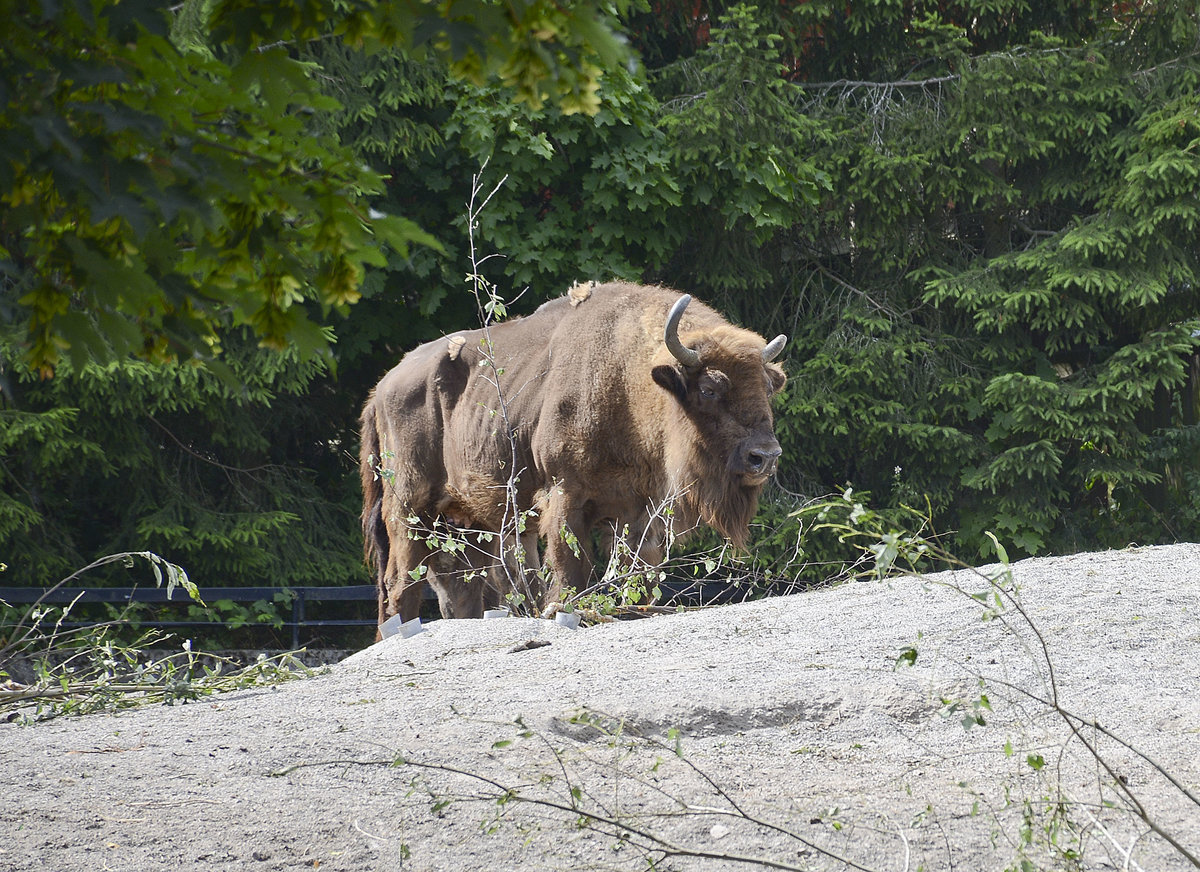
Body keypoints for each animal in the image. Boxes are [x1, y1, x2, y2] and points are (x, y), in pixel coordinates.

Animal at [355, 279, 787, 628]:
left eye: (768, 387)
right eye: (710, 388)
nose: (764, 456)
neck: (630, 381)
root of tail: (381, 389)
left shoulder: (639, 512)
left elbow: (640, 575)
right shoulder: (565, 495)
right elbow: (570, 571)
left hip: (469, 524)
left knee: (462, 590)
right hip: (409, 511)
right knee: (400, 585)